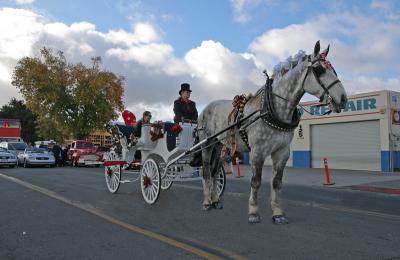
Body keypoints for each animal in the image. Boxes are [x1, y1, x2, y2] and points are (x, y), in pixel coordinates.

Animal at [198, 41, 348, 224]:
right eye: (319, 69)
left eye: (334, 71)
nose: (343, 98)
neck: (271, 107)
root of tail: (205, 109)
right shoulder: (258, 152)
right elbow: (256, 181)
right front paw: (253, 212)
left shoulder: (282, 152)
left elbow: (276, 182)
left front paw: (278, 213)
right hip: (206, 144)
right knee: (206, 171)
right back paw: (207, 202)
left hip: (220, 147)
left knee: (215, 173)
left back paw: (216, 201)